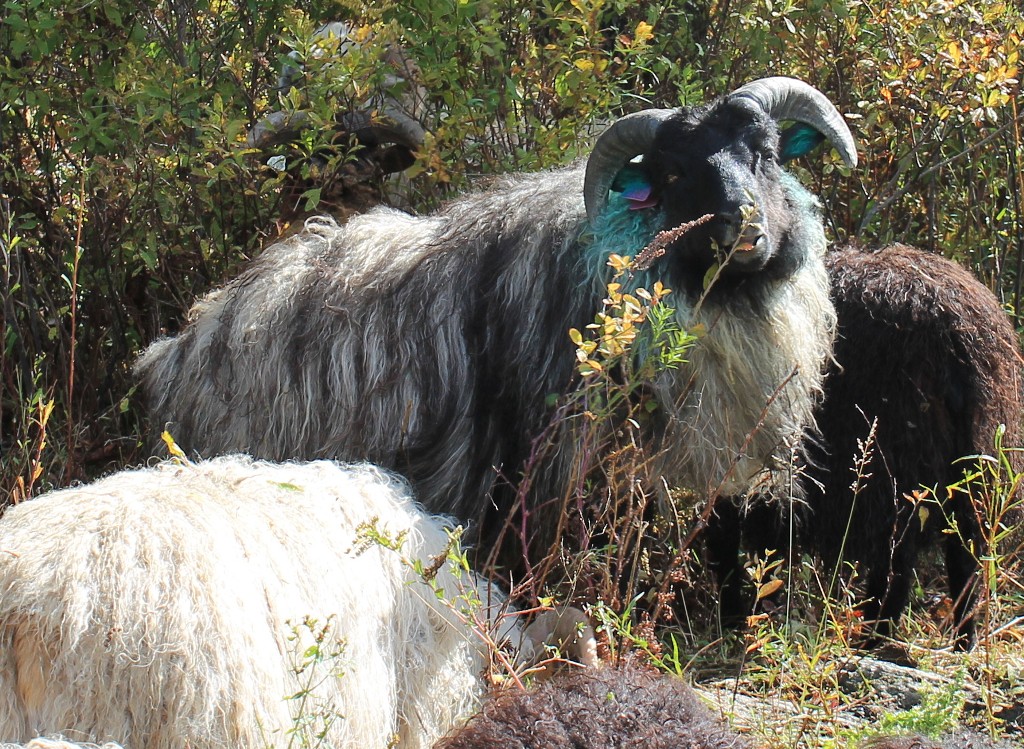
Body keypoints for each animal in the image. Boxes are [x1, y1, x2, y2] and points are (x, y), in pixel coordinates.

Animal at [708, 243, 1023, 648]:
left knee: (896, 557)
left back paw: (874, 633)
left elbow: (732, 539)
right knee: (962, 552)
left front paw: (738, 617)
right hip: (973, 460)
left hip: (891, 457)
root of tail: (955, 333)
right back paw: (960, 642)